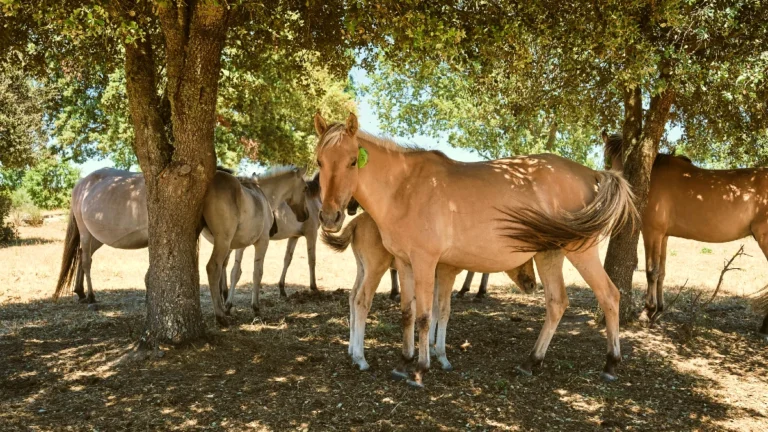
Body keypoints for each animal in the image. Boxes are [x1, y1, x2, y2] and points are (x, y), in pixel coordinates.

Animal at [201, 166, 309, 324]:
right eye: (305, 188)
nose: (306, 215)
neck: (263, 196)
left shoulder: (240, 246)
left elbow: (235, 272)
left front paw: (228, 305)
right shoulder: (262, 242)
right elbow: (257, 273)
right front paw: (256, 308)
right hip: (223, 242)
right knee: (213, 268)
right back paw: (220, 316)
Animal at [321, 210, 537, 371]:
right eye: (526, 256)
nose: (532, 284)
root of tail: (355, 222)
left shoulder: (434, 277)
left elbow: (432, 310)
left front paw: (431, 349)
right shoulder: (446, 274)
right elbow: (443, 311)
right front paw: (441, 357)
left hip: (362, 267)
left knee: (352, 297)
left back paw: (351, 351)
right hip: (376, 267)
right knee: (362, 301)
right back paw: (361, 359)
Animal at [604, 132, 768, 338]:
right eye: (608, 159)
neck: (653, 176)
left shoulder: (651, 232)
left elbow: (651, 271)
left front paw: (647, 311)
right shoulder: (664, 236)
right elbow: (662, 271)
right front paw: (659, 310)